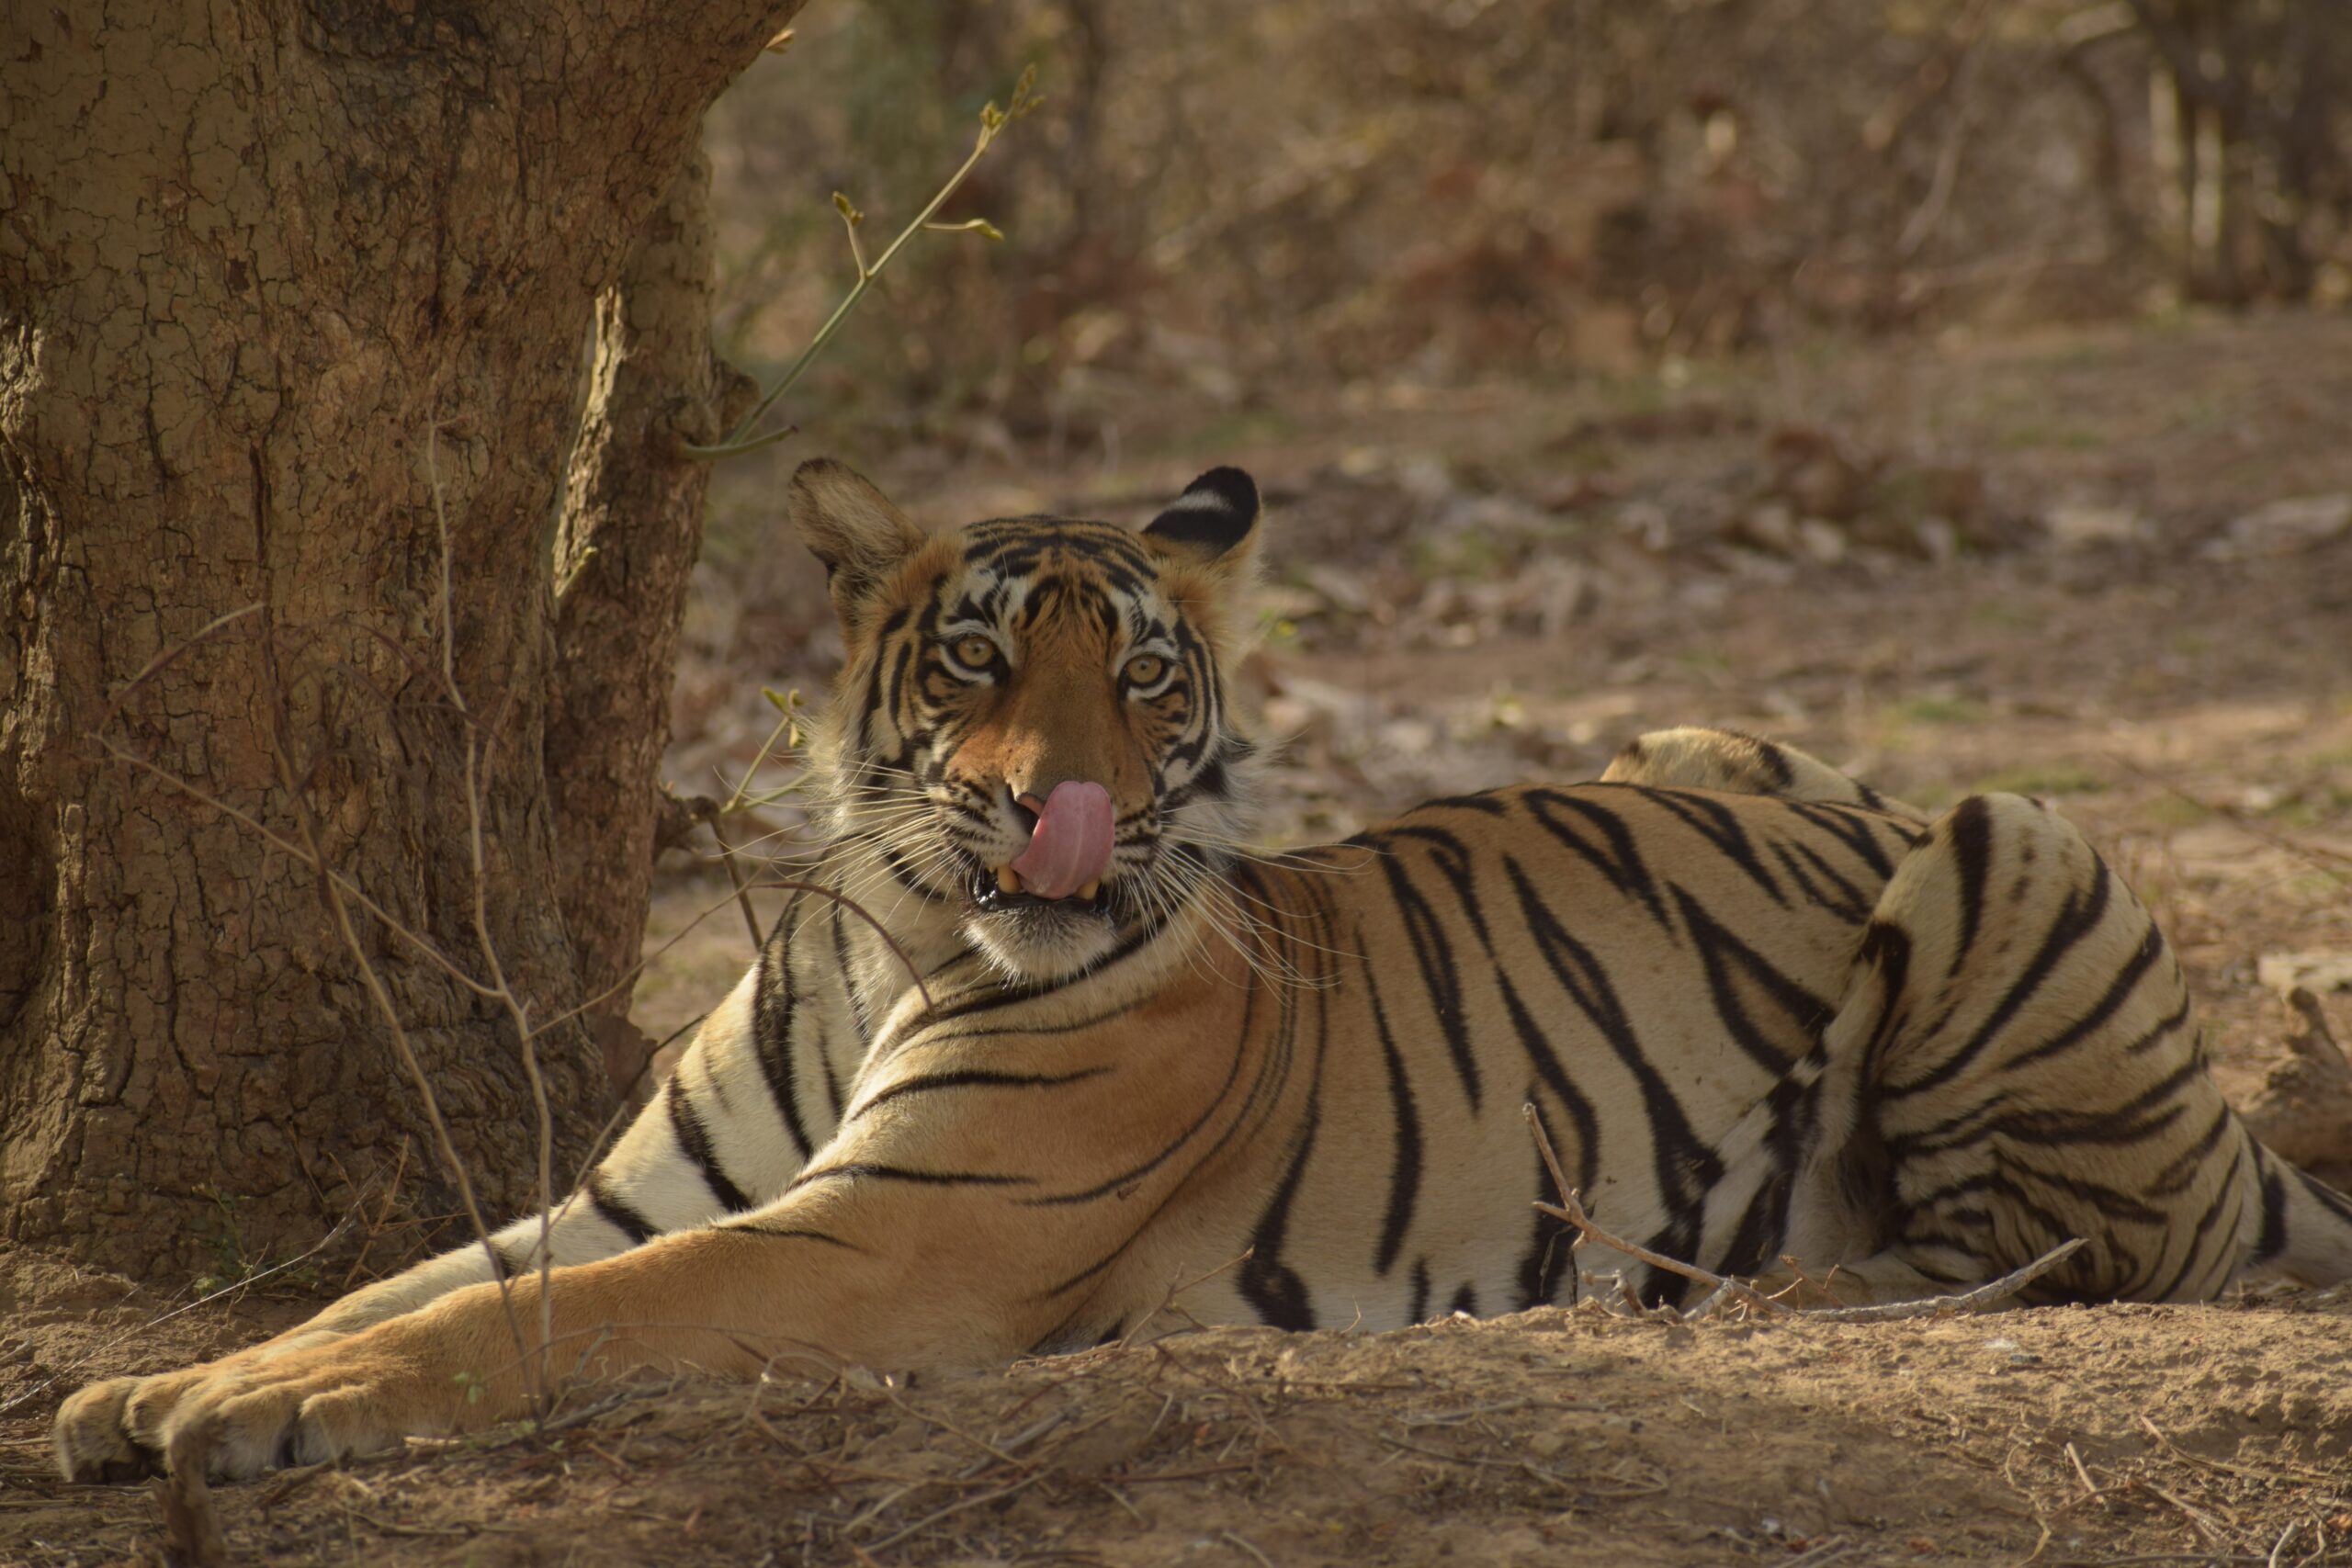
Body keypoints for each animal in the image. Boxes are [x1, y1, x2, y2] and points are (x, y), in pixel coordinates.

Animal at [51, 456, 2352, 1485]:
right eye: (977, 656)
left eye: (1144, 674)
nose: (1061, 807)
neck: (892, 928)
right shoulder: (642, 1192)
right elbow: (413, 1282)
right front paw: (149, 1381)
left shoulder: (875, 1240)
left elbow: (523, 1319)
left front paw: (235, 1412)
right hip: (1709, 744)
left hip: (2003, 840)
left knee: (2073, 1247)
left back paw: (1753, 1285)